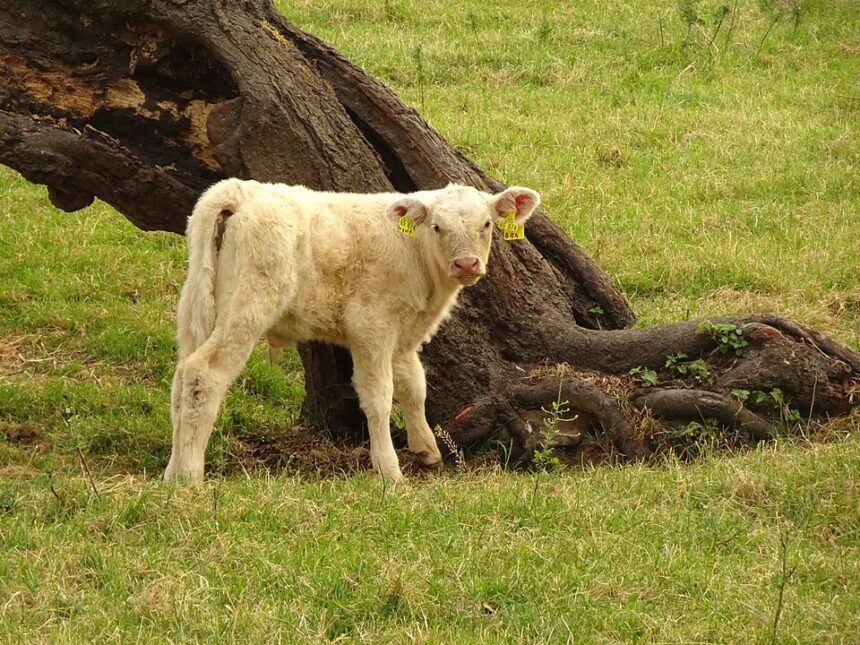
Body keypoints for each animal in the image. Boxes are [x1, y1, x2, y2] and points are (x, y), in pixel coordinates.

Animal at [164, 178, 540, 483]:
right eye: (436, 226)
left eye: (487, 224)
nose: (466, 264)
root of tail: (241, 190)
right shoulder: (371, 326)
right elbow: (379, 395)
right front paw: (389, 469)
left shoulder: (404, 334)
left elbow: (414, 386)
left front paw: (427, 450)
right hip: (250, 303)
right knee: (204, 372)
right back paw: (190, 475)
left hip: (197, 304)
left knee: (181, 379)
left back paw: (172, 471)